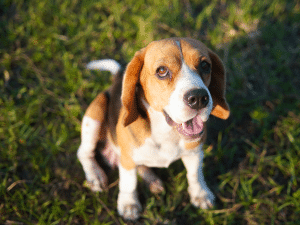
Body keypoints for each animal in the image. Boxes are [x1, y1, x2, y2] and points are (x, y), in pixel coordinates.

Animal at [77, 37, 230, 220]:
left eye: (205, 65)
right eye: (162, 71)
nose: (199, 98)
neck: (166, 132)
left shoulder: (194, 152)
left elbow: (195, 175)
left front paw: (200, 194)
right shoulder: (127, 159)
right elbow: (129, 183)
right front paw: (128, 205)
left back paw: (153, 181)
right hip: (96, 113)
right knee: (84, 152)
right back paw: (95, 176)